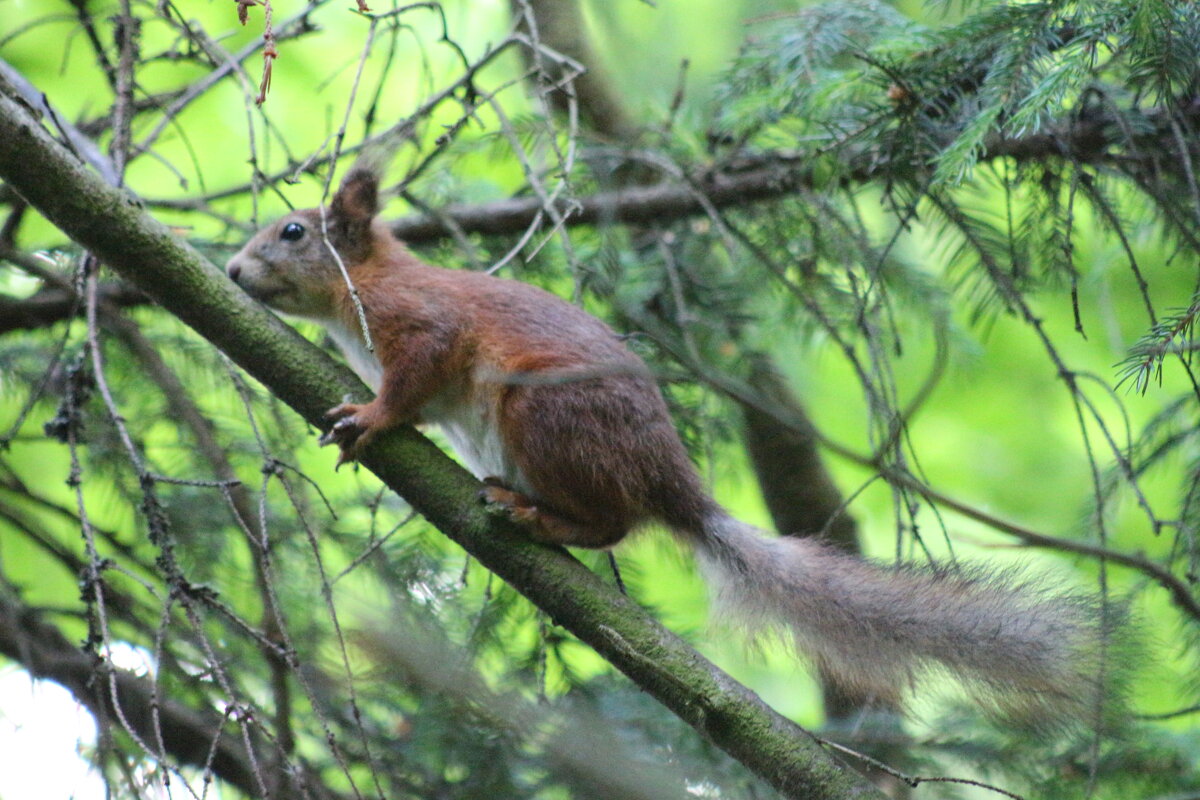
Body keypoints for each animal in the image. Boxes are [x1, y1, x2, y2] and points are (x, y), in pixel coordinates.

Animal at [231, 172, 1113, 724]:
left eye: (292, 231)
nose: (234, 270)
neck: (359, 292)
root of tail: (672, 486)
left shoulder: (424, 324)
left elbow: (413, 378)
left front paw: (374, 417)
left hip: (543, 414)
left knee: (614, 524)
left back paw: (539, 517)